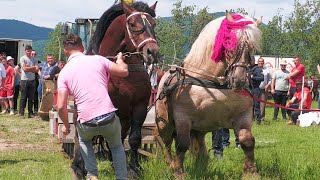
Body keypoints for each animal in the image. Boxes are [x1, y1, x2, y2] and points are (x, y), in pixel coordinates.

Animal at [71, 1, 159, 179]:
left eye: (153, 24)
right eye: (132, 24)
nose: (152, 51)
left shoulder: (139, 107)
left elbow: (134, 138)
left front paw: (134, 168)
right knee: (79, 136)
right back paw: (78, 165)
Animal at [156, 11, 262, 178]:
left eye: (252, 47)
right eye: (229, 42)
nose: (239, 81)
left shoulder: (243, 115)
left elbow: (247, 141)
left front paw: (250, 173)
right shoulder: (183, 118)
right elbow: (182, 144)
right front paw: (178, 172)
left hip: (200, 128)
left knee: (199, 143)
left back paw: (202, 162)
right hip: (164, 123)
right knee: (167, 142)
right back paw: (170, 164)